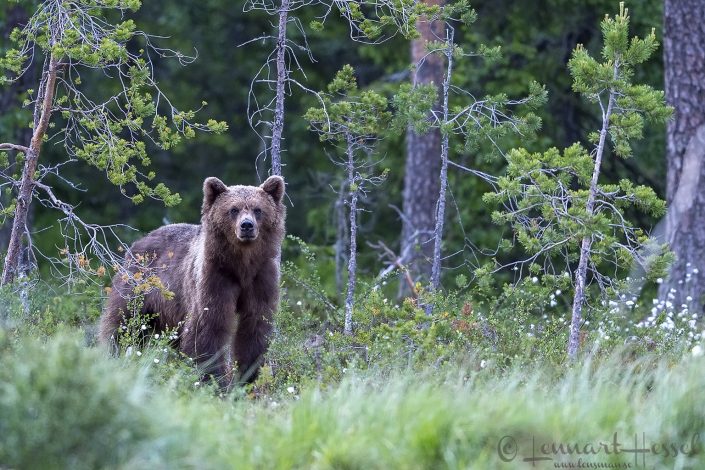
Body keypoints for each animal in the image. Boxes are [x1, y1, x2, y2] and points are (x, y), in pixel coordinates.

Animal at [99, 175, 286, 387]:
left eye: (258, 209)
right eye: (233, 209)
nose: (247, 225)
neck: (241, 265)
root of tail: (139, 240)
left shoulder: (260, 278)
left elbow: (255, 325)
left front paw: (247, 377)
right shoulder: (214, 276)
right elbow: (208, 325)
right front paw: (212, 378)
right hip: (139, 285)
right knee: (123, 322)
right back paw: (113, 354)